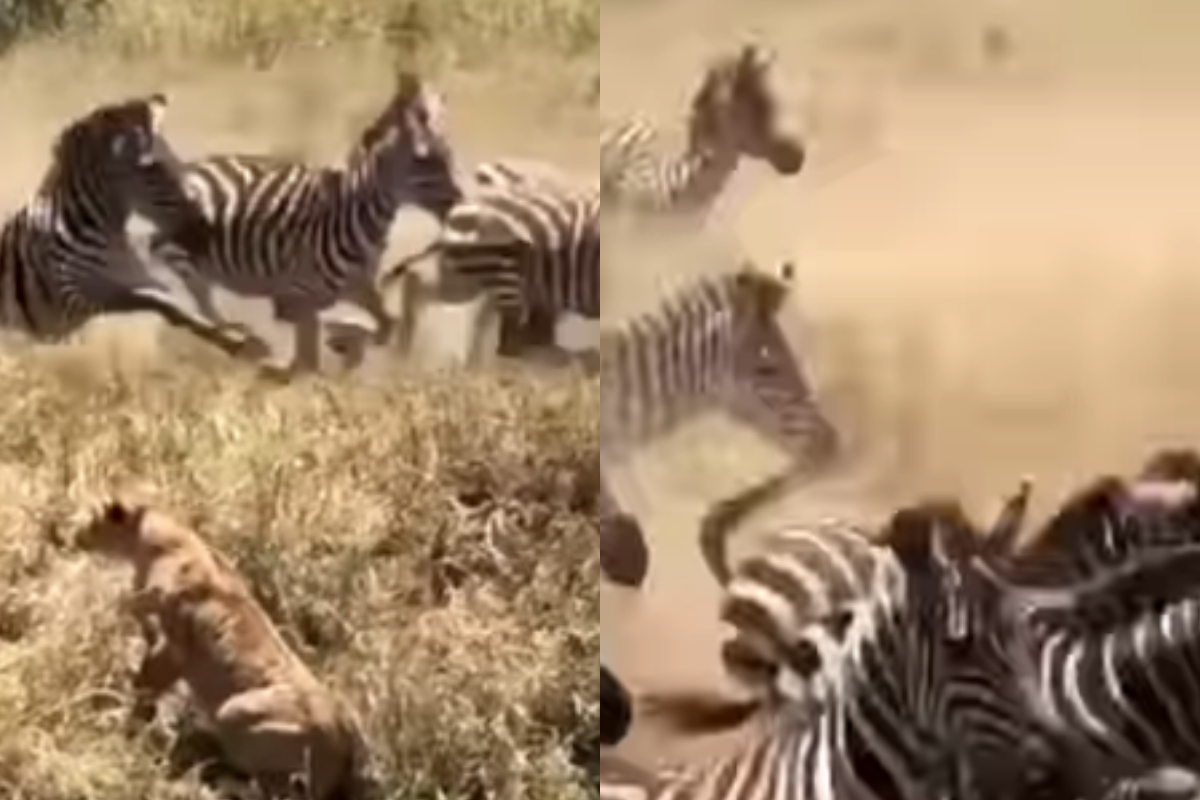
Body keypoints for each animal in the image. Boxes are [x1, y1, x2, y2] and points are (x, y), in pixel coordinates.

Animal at [0, 93, 265, 359]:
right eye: (152, 168)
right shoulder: (81, 297)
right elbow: (167, 307)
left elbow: (180, 303)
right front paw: (237, 344)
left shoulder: (136, 280)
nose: (203, 228)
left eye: (174, 159)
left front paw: (232, 331)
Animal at [74, 494, 364, 800]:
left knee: (271, 790)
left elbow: (143, 684)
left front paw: (122, 719)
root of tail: (346, 748)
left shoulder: (174, 647)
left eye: (93, 519)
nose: (75, 537)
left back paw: (213, 782)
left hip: (233, 714)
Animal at [148, 70, 461, 377]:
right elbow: (307, 363)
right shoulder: (301, 298)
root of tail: (191, 167)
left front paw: (345, 342)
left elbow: (387, 325)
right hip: (187, 264)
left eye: (449, 154)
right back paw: (247, 345)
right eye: (423, 160)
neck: (358, 217)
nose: (459, 204)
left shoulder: (359, 286)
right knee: (205, 314)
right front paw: (335, 345)